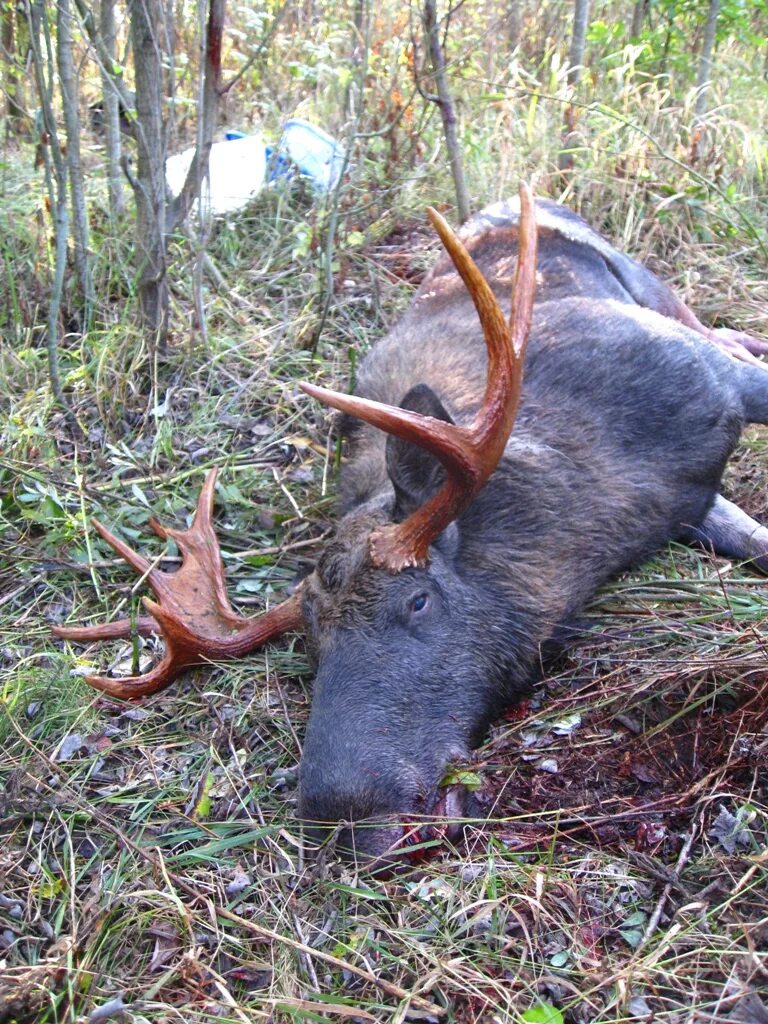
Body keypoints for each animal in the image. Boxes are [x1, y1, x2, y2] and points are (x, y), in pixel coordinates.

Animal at [57, 184, 768, 864]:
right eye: (311, 640)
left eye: (418, 600)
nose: (344, 816)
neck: (610, 505)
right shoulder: (689, 501)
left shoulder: (707, 381)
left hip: (653, 287)